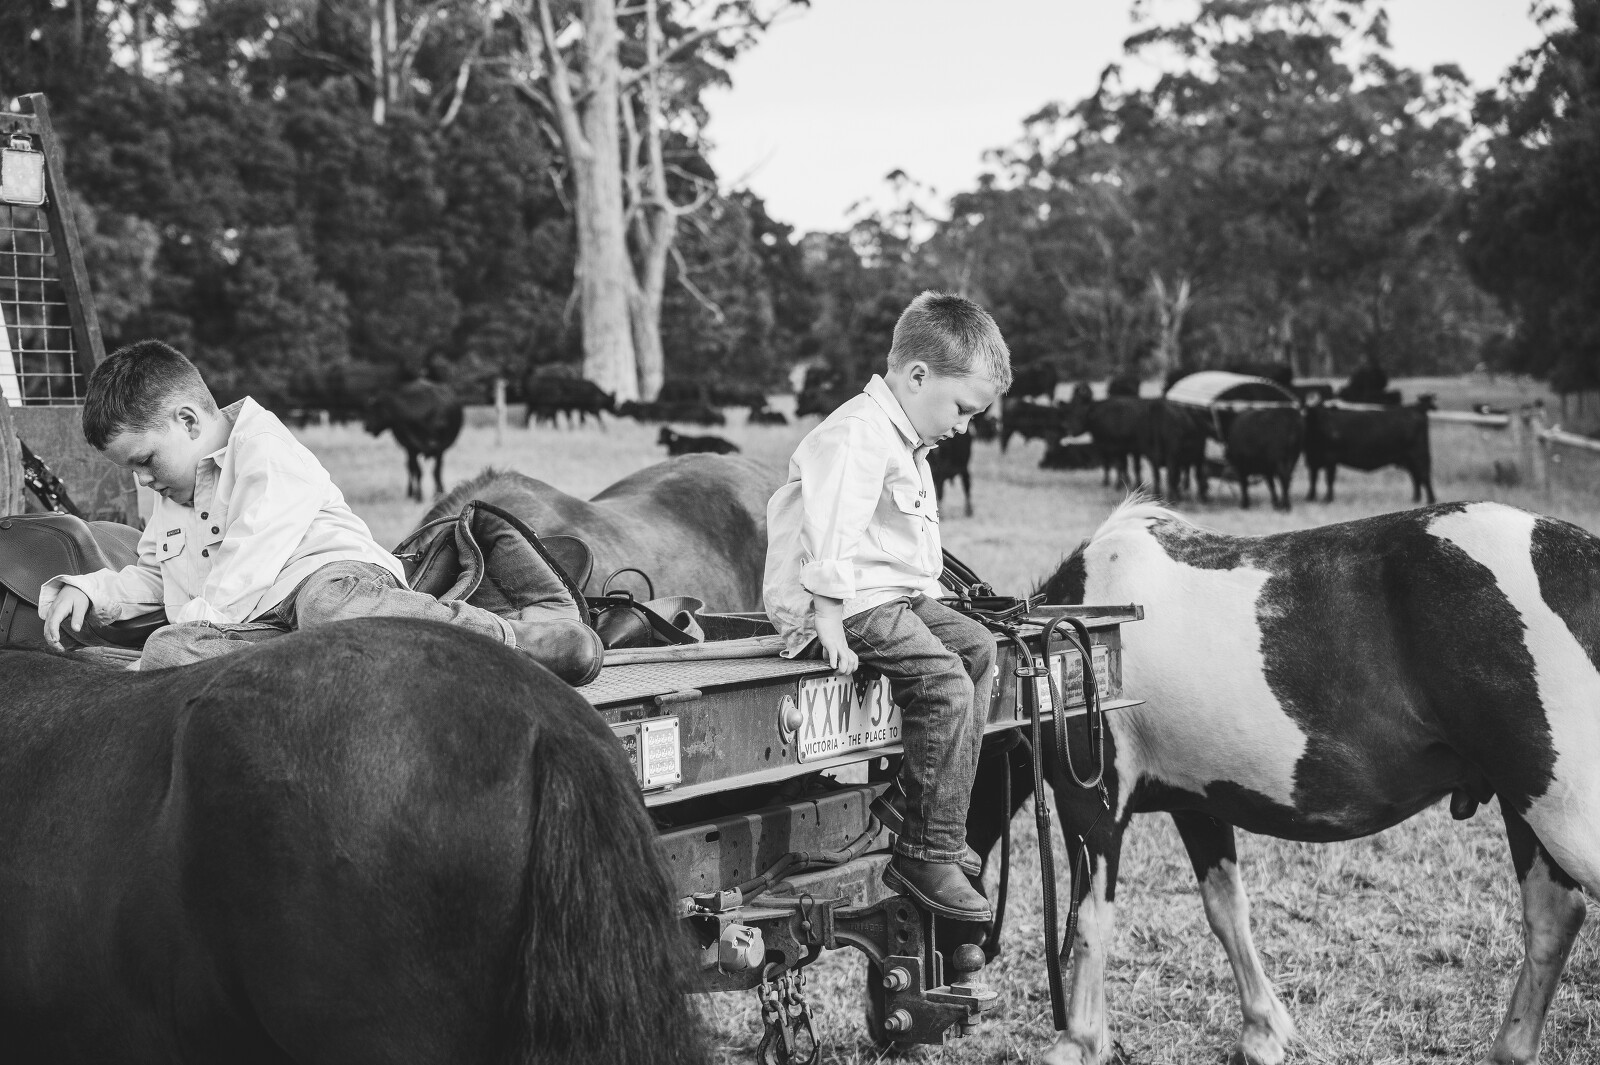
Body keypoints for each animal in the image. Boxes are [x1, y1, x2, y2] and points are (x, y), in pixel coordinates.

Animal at [965, 497, 1600, 1065]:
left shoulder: (1091, 803)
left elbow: (1090, 920)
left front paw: (1078, 1041)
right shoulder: (1198, 805)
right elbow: (1227, 911)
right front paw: (1262, 1031)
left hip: (1562, 813)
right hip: (1526, 806)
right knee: (1552, 918)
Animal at [1304, 398, 1435, 504]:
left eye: (1326, 414)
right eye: (1311, 414)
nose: (1334, 434)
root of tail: (1415, 409)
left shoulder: (1331, 459)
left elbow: (1329, 479)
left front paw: (1327, 499)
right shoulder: (1312, 460)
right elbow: (1313, 479)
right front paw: (1310, 498)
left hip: (1419, 455)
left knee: (1424, 476)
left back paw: (1430, 500)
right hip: (1409, 459)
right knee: (1416, 477)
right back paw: (1415, 500)